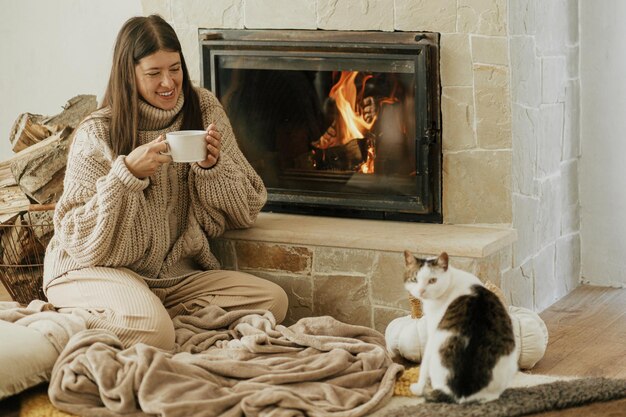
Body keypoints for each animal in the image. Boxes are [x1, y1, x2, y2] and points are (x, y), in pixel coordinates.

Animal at [402, 249, 516, 402]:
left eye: (432, 280)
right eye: (414, 279)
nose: (421, 291)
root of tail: (461, 391)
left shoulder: (432, 330)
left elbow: (423, 366)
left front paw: (418, 387)